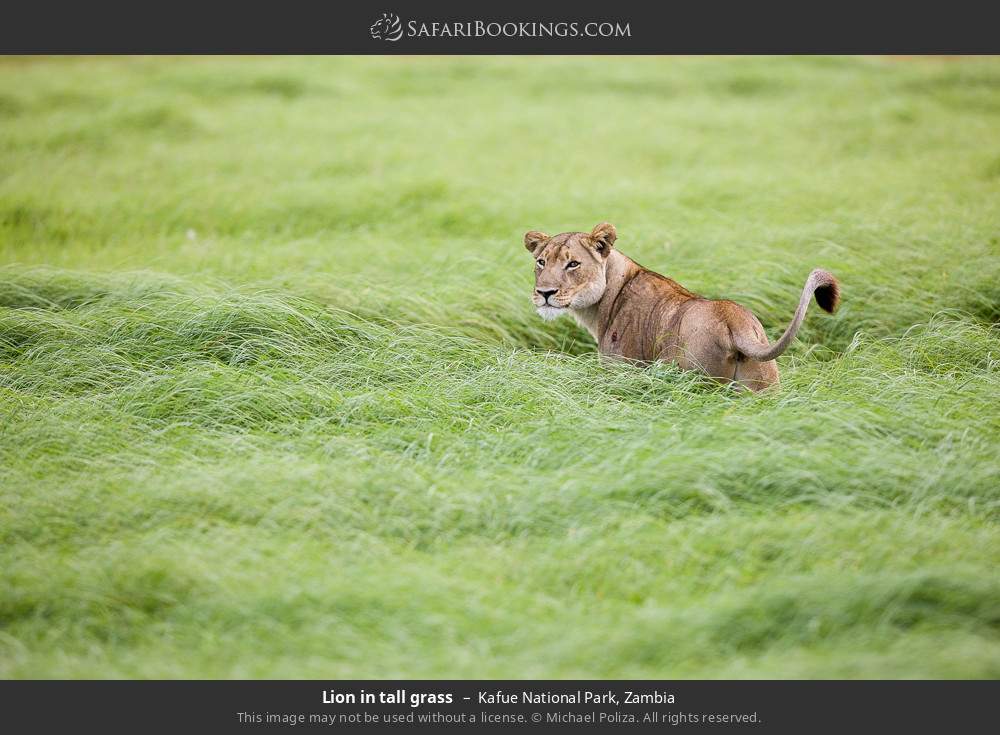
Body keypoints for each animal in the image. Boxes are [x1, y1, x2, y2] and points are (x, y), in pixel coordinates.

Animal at [523, 222, 840, 391]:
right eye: (541, 262)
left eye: (573, 264)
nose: (545, 293)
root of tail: (734, 319)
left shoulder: (623, 370)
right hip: (764, 387)